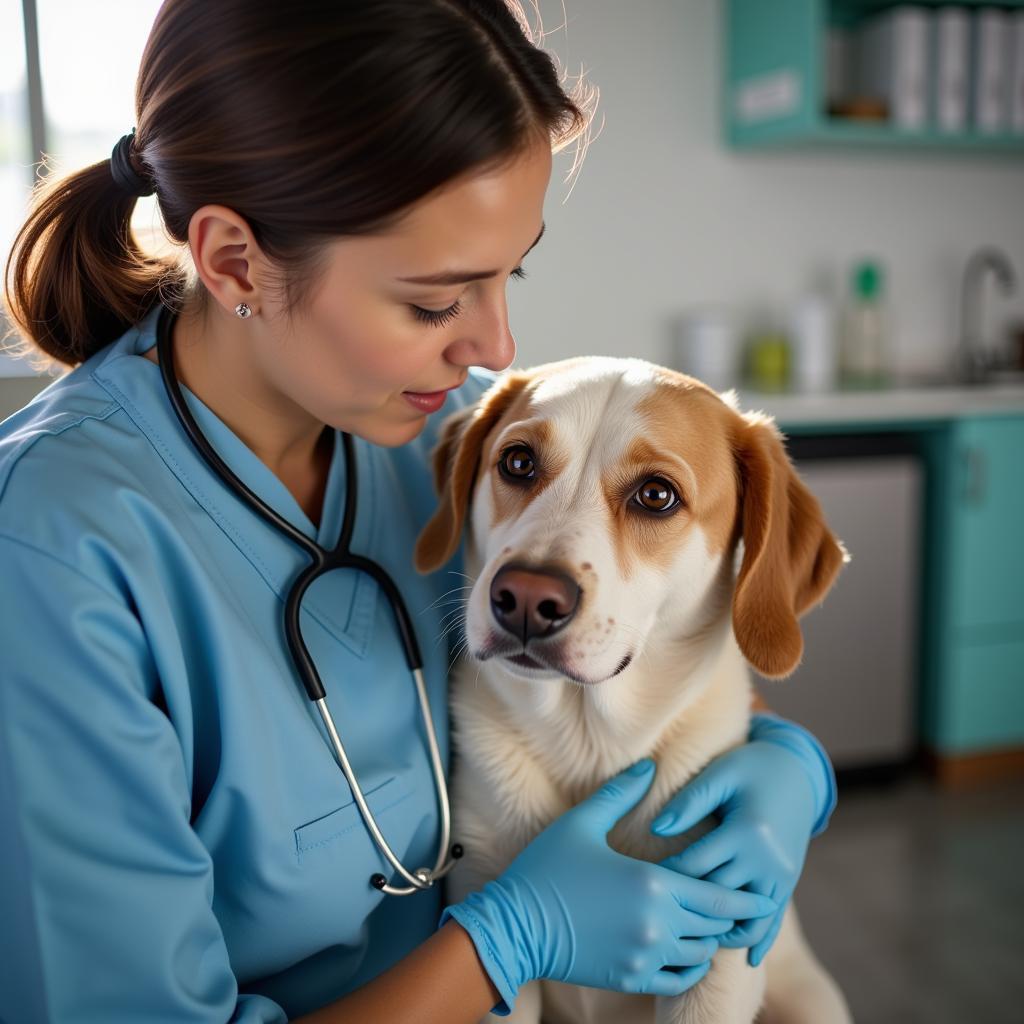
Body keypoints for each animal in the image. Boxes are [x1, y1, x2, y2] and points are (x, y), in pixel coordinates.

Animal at [411, 358, 851, 1024]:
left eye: (656, 495)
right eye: (518, 462)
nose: (526, 599)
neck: (590, 741)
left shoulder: (719, 958)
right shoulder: (484, 904)